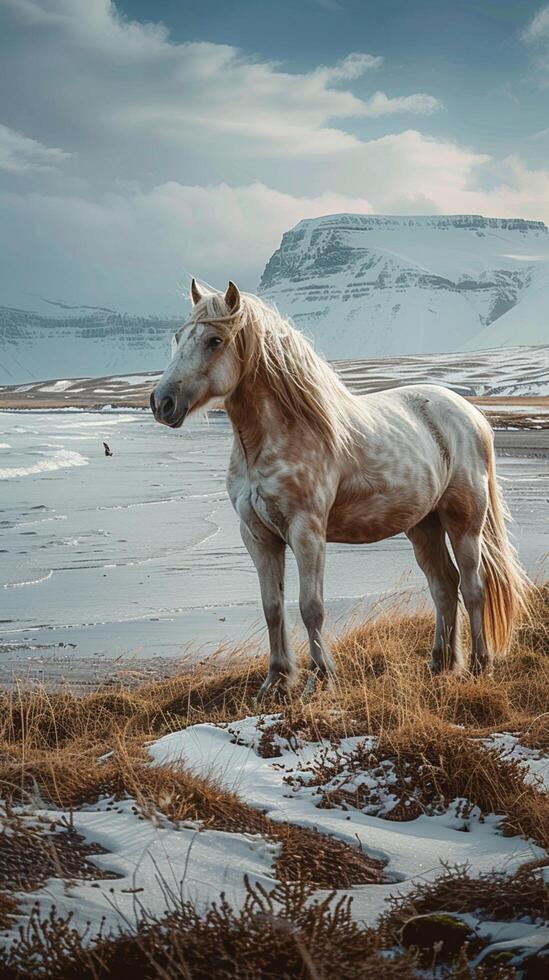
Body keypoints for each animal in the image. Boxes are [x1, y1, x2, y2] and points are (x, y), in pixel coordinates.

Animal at [150, 280, 528, 700]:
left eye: (215, 340)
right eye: (179, 336)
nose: (161, 402)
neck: (275, 437)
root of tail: (471, 414)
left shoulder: (307, 532)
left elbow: (310, 606)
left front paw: (321, 679)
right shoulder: (258, 536)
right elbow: (272, 607)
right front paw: (276, 679)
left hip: (464, 521)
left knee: (474, 587)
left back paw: (480, 664)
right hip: (423, 525)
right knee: (444, 587)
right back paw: (440, 664)